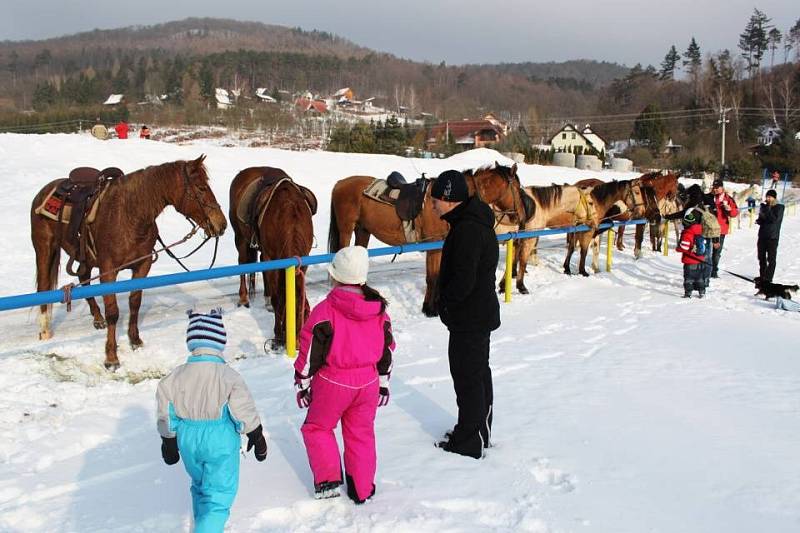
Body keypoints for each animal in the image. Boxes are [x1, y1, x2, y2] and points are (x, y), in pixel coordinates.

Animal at [30, 156, 225, 368]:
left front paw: (135, 340)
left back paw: (97, 318)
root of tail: (45, 190)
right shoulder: (108, 270)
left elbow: (135, 302)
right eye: (201, 188)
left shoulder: (142, 266)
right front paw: (111, 356)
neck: (129, 214)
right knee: (44, 285)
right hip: (45, 249)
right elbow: (113, 312)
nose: (221, 224)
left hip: (84, 257)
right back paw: (44, 330)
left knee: (83, 278)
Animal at [228, 167, 316, 350]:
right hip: (241, 239)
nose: (296, 344)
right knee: (242, 263)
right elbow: (277, 299)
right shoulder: (271, 257)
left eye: (303, 312)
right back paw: (243, 298)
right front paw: (277, 335)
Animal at [328, 162, 528, 316]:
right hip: (346, 229)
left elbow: (437, 276)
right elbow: (432, 278)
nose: (522, 216)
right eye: (518, 189)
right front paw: (430, 309)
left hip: (363, 230)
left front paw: (432, 306)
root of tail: (339, 184)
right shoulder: (434, 248)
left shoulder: (440, 247)